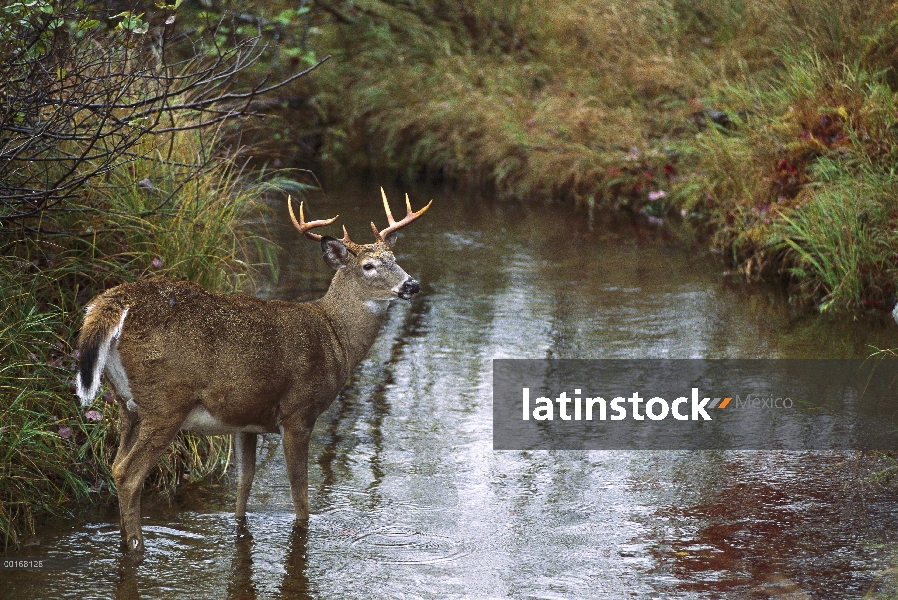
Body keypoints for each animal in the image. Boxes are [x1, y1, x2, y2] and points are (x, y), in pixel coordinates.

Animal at [73, 190, 430, 556]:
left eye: (394, 258)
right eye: (368, 266)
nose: (412, 284)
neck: (334, 338)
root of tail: (111, 302)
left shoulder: (246, 420)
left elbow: (243, 488)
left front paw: (240, 529)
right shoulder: (298, 412)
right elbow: (300, 495)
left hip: (126, 403)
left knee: (115, 466)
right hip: (166, 402)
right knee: (128, 473)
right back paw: (137, 546)